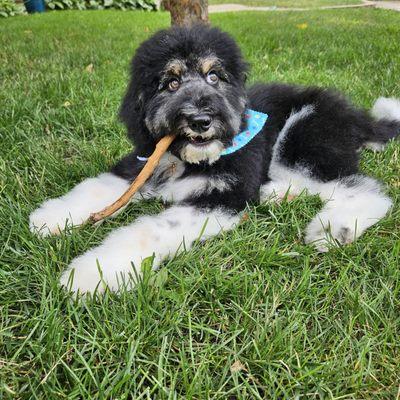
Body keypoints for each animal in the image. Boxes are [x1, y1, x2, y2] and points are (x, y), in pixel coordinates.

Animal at [28, 25, 400, 294]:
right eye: (171, 82)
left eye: (214, 77)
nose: (200, 120)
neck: (188, 159)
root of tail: (357, 117)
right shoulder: (140, 163)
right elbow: (97, 188)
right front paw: (51, 217)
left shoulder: (223, 196)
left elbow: (151, 229)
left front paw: (94, 271)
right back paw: (278, 194)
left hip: (303, 137)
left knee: (365, 187)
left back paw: (334, 227)